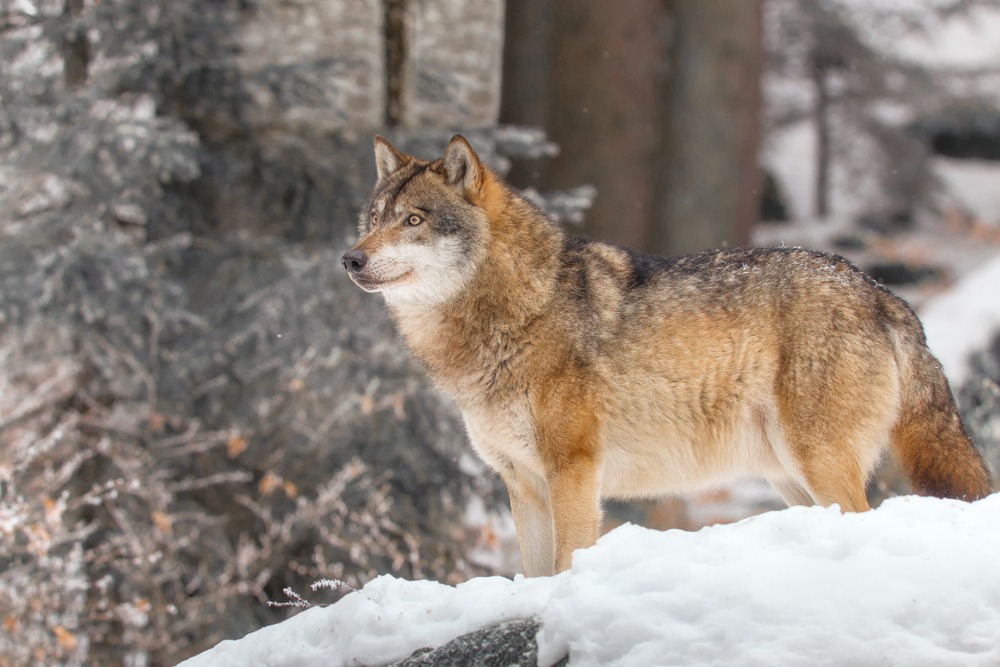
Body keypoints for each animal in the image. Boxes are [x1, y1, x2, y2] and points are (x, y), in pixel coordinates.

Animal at [342, 135, 993, 577]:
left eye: (414, 220)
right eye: (372, 220)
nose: (350, 258)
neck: (517, 309)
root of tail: (880, 291)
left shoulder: (573, 471)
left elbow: (568, 560)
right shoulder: (522, 485)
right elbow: (535, 573)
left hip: (819, 462)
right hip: (790, 477)